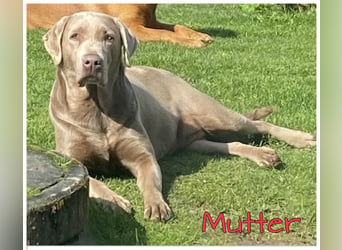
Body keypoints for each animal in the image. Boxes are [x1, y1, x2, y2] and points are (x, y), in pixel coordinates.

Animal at [43, 11, 316, 221]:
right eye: (74, 36)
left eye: (109, 37)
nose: (92, 61)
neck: (96, 109)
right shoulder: (72, 160)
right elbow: (92, 181)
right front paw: (114, 200)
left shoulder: (142, 155)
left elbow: (150, 179)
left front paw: (156, 205)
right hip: (196, 140)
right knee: (230, 144)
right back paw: (263, 155)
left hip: (214, 114)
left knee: (257, 124)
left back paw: (300, 139)